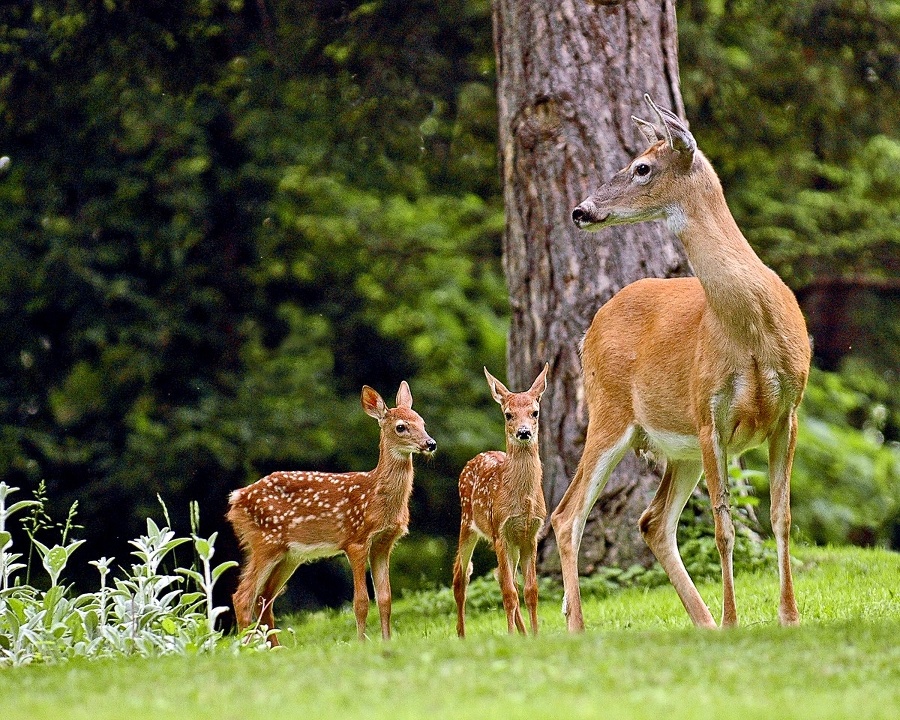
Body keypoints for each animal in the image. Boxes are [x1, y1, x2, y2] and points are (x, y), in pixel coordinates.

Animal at [227, 382, 434, 640]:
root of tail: (236, 498)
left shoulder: (384, 543)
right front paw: (362, 643)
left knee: (264, 598)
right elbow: (361, 602)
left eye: (422, 422)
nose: (430, 443)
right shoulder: (355, 540)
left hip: (289, 555)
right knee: (243, 596)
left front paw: (387, 641)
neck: (376, 497)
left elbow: (385, 599)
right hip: (264, 543)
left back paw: (273, 646)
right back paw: (248, 645)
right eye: (401, 427)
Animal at [450, 366, 548, 636]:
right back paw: (461, 635)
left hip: (511, 543)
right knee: (461, 576)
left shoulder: (530, 534)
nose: (524, 432)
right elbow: (509, 593)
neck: (523, 499)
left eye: (535, 412)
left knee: (503, 577)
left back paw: (523, 633)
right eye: (508, 414)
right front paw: (511, 636)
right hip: (467, 523)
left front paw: (535, 635)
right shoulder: (500, 532)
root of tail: (476, 456)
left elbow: (530, 591)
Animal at [552, 94, 812, 632]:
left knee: (652, 521)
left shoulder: (788, 411)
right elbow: (723, 525)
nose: (581, 210)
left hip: (679, 448)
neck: (752, 329)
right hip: (610, 414)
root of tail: (589, 329)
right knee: (567, 515)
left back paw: (704, 622)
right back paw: (578, 627)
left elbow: (781, 517)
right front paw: (735, 621)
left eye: (641, 167)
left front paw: (789, 618)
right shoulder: (709, 411)